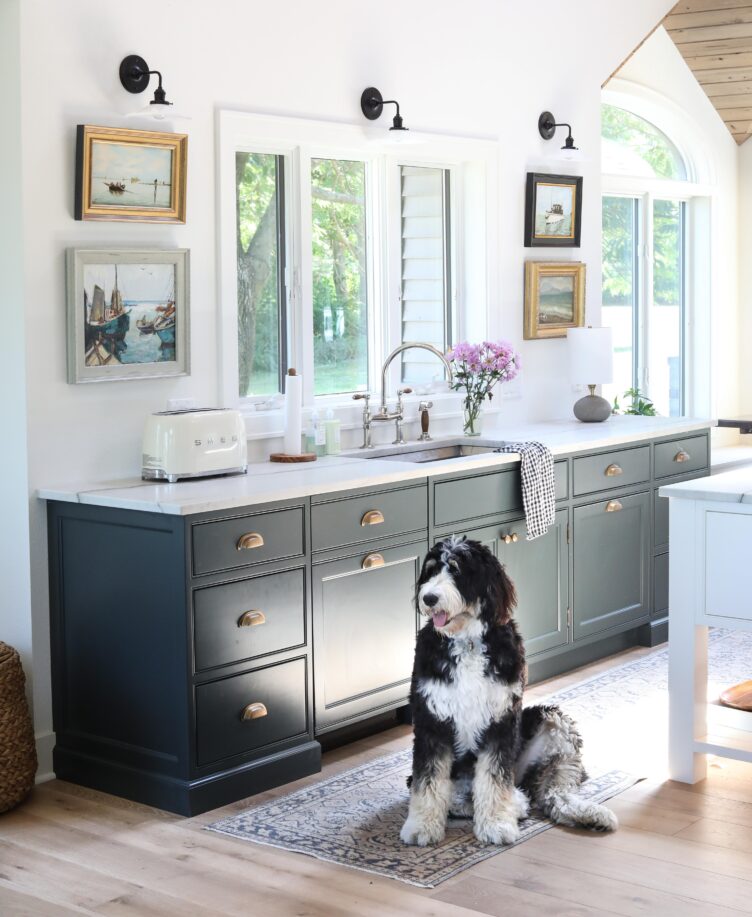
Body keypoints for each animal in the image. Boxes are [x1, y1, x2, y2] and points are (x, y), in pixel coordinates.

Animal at [400, 536, 616, 844]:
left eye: (456, 570)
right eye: (430, 570)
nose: (429, 598)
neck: (467, 641)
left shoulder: (500, 720)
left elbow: (494, 779)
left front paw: (497, 825)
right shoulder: (432, 720)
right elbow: (428, 781)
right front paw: (421, 827)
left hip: (552, 724)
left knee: (552, 790)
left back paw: (583, 812)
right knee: (459, 796)